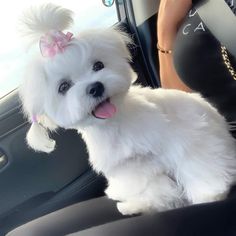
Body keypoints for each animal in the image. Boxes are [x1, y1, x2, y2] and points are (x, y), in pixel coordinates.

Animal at [19, 3, 236, 216]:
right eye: (63, 87)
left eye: (98, 65)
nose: (95, 87)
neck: (114, 124)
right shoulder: (129, 168)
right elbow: (150, 186)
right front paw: (146, 204)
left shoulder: (183, 139)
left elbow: (196, 163)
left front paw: (208, 194)